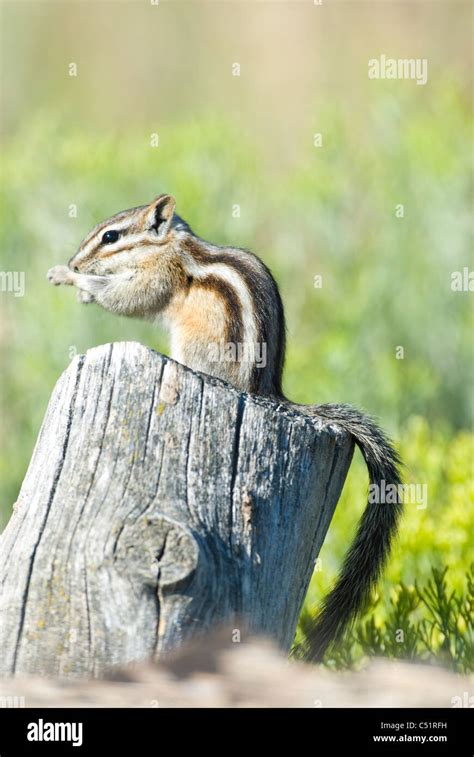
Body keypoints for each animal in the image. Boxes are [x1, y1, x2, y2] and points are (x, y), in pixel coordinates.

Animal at [47, 193, 403, 661]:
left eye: (111, 236)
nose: (76, 259)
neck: (168, 245)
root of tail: (266, 393)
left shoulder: (158, 277)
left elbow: (130, 299)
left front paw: (72, 278)